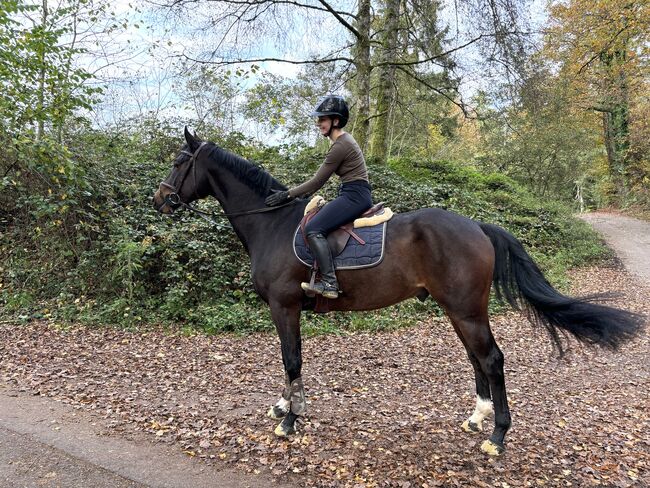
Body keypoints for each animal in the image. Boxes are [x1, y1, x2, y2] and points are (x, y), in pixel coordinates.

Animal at [151, 127, 636, 456]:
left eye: (178, 162)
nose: (159, 200)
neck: (272, 224)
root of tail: (477, 226)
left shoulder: (284, 306)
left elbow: (291, 359)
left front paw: (290, 419)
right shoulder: (287, 310)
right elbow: (290, 361)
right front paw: (283, 405)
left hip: (465, 309)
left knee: (492, 358)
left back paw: (497, 436)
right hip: (457, 309)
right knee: (476, 357)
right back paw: (477, 418)